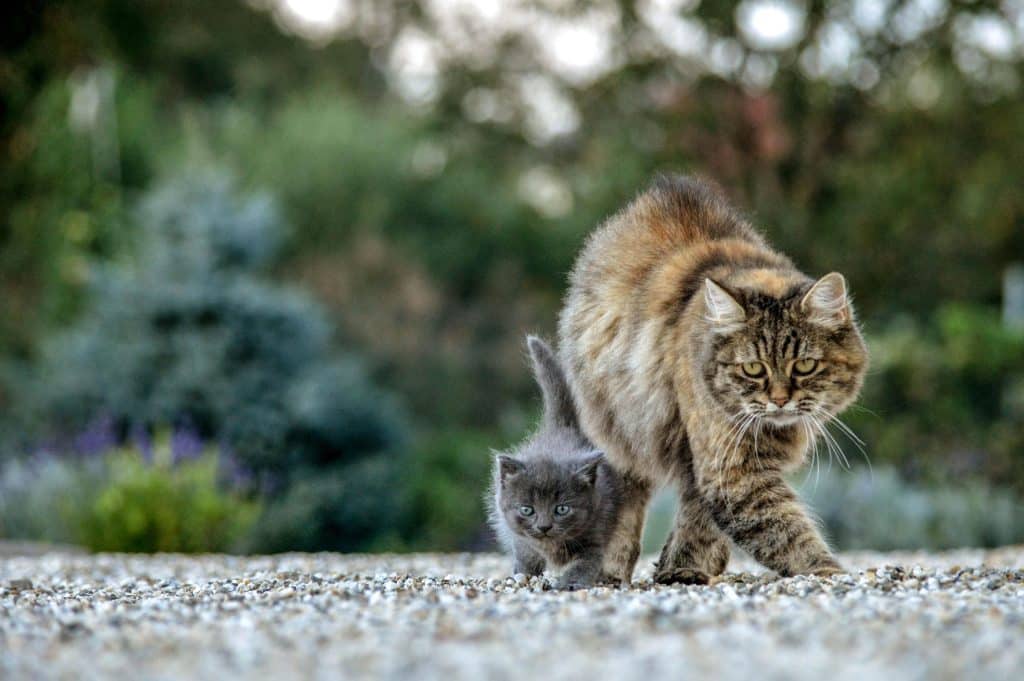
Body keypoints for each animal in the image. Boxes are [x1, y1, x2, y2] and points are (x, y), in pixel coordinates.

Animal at [487, 335, 622, 589]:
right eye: (527, 510)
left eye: (562, 509)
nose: (544, 527)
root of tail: (560, 428)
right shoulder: (521, 537)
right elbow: (526, 554)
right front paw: (522, 575)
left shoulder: (596, 529)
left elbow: (586, 562)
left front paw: (571, 583)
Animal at [557, 173, 868, 581]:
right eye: (753, 369)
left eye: (804, 366)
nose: (780, 400)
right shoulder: (731, 469)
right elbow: (787, 534)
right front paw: (827, 570)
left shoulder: (715, 465)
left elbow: (706, 518)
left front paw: (683, 566)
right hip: (621, 438)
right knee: (622, 507)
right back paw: (610, 573)